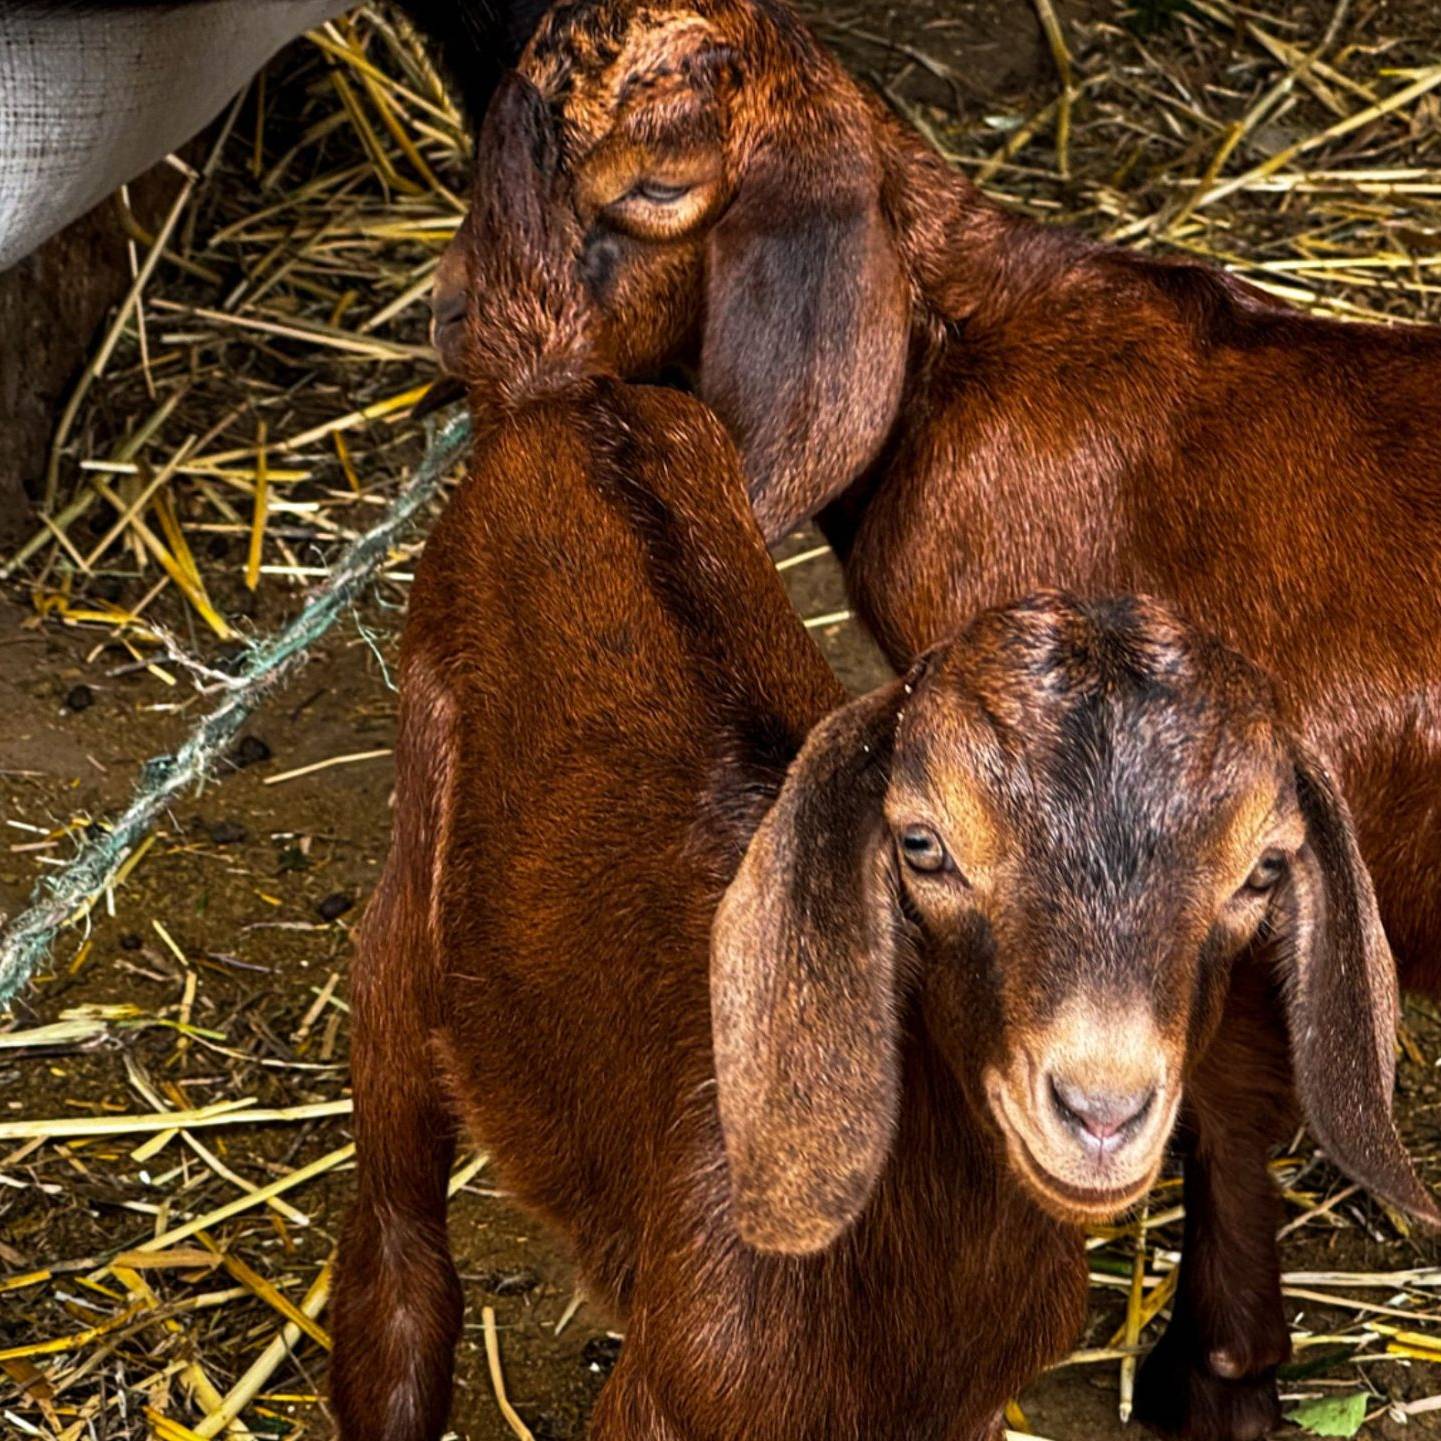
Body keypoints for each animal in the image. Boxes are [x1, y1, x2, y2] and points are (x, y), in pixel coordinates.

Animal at [331, 73, 1435, 1441]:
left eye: (1260, 871)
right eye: (922, 844)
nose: (1101, 1110)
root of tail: (567, 398)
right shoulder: (671, 1387)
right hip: (409, 878)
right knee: (394, 1247)